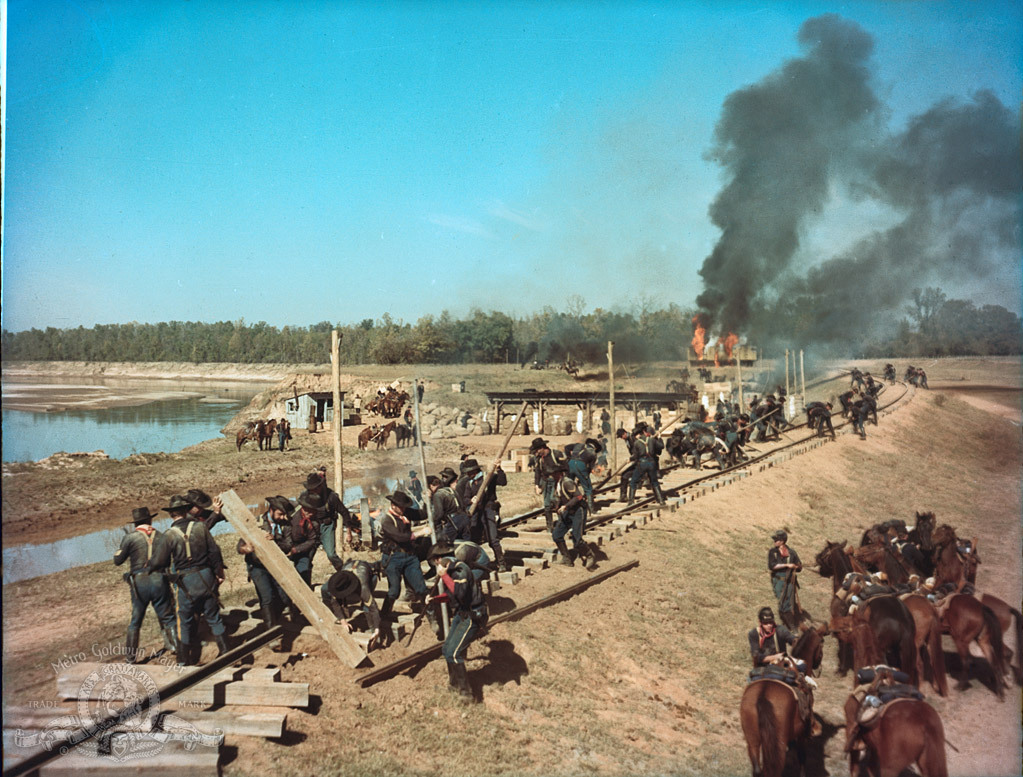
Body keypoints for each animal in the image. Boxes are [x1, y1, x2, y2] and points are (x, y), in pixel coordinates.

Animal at [736, 629, 822, 777]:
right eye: (821, 645)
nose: (819, 665)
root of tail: (763, 696)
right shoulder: (801, 734)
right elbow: (802, 757)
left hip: (752, 740)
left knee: (757, 769)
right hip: (778, 746)